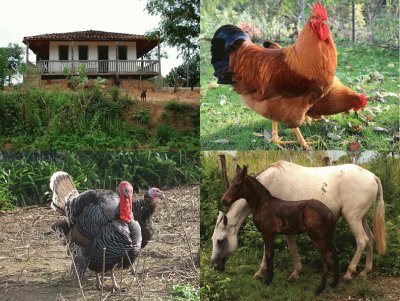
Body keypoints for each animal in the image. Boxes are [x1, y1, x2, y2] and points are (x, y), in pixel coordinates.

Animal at [211, 161, 386, 280]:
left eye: (220, 240)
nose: (214, 266)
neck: (267, 192)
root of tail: (373, 177)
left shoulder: (276, 229)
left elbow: (281, 249)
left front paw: (263, 272)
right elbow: (291, 247)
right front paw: (295, 272)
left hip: (353, 218)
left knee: (362, 241)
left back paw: (349, 272)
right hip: (361, 218)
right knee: (371, 239)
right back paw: (365, 271)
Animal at [220, 163, 340, 294]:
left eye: (237, 184)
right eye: (231, 182)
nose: (224, 200)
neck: (262, 204)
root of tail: (329, 212)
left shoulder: (267, 233)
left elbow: (268, 255)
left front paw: (267, 280)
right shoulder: (272, 234)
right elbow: (271, 254)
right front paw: (270, 278)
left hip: (318, 237)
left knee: (326, 258)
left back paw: (320, 288)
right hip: (327, 237)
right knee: (335, 253)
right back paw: (334, 283)